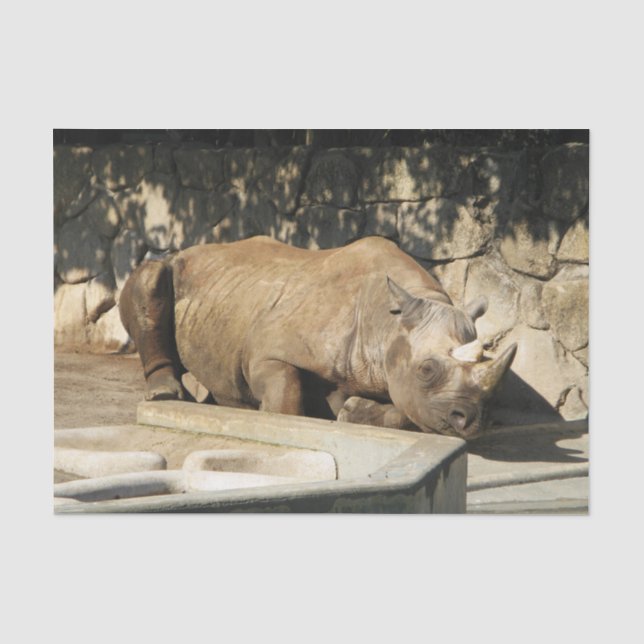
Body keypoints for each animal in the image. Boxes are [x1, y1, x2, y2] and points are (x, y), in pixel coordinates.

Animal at [119, 236, 516, 439]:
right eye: (427, 370)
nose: (472, 420)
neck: (386, 324)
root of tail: (189, 250)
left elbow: (409, 412)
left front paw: (353, 411)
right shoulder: (268, 352)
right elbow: (286, 396)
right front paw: (276, 417)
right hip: (176, 267)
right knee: (152, 276)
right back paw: (167, 395)